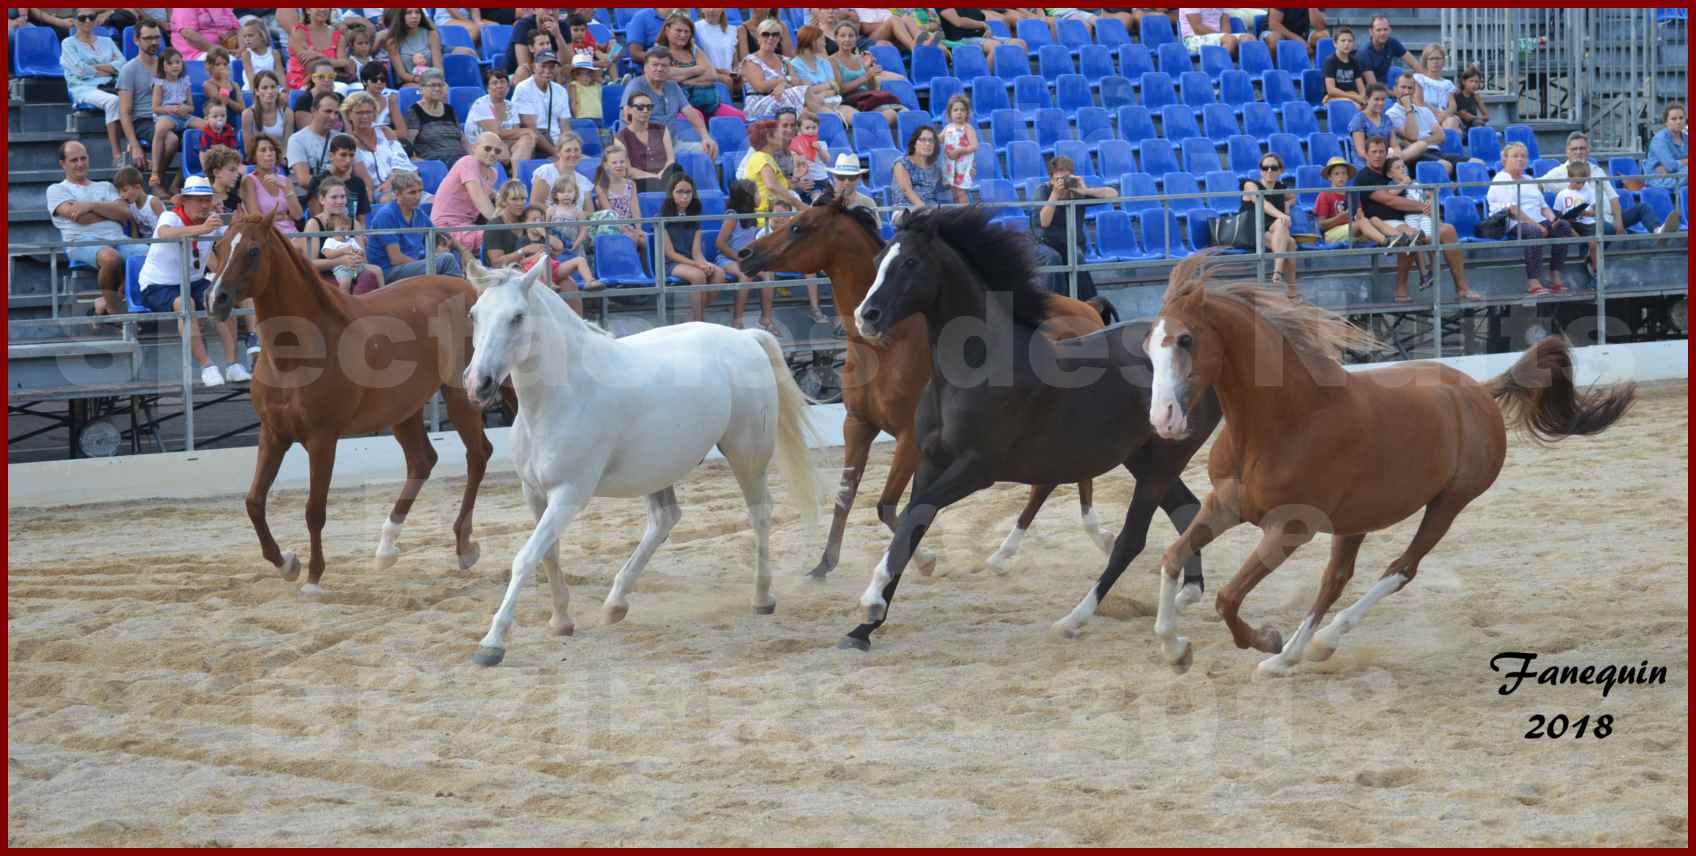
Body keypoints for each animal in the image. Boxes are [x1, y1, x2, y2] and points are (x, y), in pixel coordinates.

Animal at [209, 213, 505, 593]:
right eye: (218, 246)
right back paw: (386, 549)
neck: (296, 354)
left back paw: (463, 548)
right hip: (403, 410)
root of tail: (470, 292)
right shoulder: (273, 435)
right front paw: (287, 563)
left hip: (460, 397)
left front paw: (314, 579)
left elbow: (314, 509)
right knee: (422, 462)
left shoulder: (322, 439)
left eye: (253, 250)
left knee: (478, 455)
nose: (216, 299)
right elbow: (254, 503)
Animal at [457, 257, 814, 664]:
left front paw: (492, 643)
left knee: (760, 514)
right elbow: (548, 556)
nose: (478, 383)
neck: (563, 396)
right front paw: (561, 621)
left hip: (747, 454)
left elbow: (526, 557)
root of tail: (745, 338)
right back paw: (615, 603)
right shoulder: (533, 492)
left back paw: (762, 597)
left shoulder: (569, 495)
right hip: (658, 469)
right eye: (474, 314)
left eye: (517, 317)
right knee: (664, 519)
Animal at [742, 196, 1126, 576]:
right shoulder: (858, 425)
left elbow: (887, 505)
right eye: (879, 263)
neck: (887, 346)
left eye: (798, 226)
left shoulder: (910, 440)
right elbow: (846, 495)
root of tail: (1088, 310)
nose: (746, 254)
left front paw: (925, 560)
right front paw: (823, 565)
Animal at [837, 205, 1214, 647]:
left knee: (1133, 539)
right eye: (880, 260)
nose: (867, 317)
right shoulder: (930, 461)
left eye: (910, 262)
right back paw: (1187, 594)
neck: (977, 368)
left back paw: (1074, 619)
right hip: (1144, 458)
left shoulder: (976, 469)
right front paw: (865, 627)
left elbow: (915, 513)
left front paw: (870, 601)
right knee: (1188, 509)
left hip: (1164, 460)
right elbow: (913, 523)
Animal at [1146, 254, 1634, 674]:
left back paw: (1305, 649)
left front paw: (1265, 639)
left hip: (1448, 504)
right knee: (1336, 578)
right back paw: (1301, 651)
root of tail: (1480, 391)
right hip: (1355, 520)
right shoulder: (1225, 505)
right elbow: (1172, 558)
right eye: (1150, 346)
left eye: (1186, 339)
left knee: (1399, 569)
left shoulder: (1290, 528)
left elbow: (1227, 598)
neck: (1284, 421)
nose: (1163, 419)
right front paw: (1175, 650)